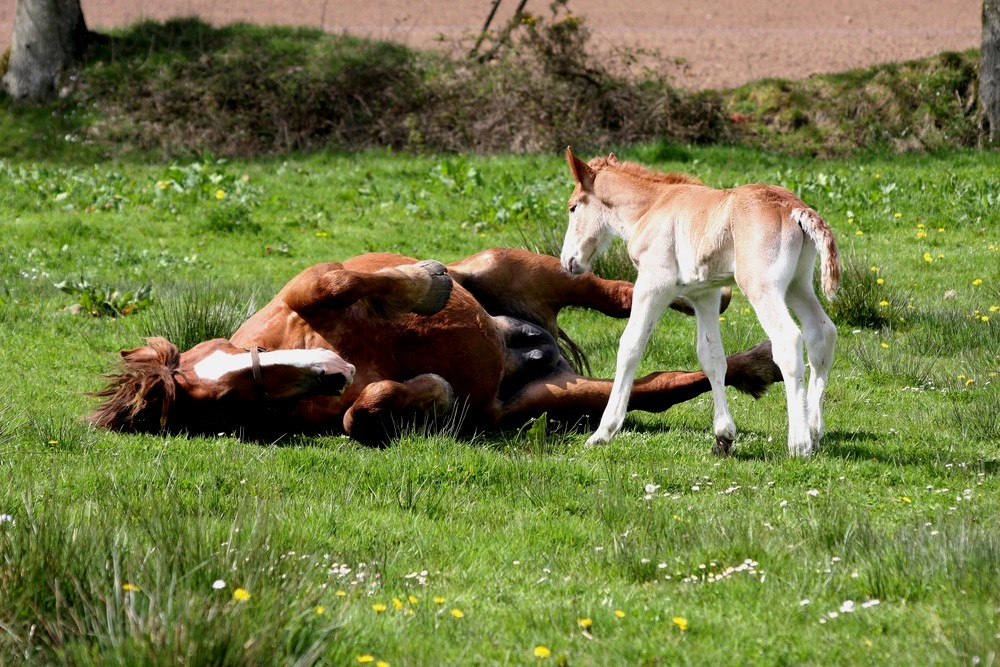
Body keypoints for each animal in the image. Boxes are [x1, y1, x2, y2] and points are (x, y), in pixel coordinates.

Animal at [90, 248, 780, 446]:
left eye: (228, 362)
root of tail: (533, 344)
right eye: (229, 399)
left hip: (514, 266)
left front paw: (426, 285)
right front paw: (430, 395)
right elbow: (362, 414)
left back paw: (713, 296)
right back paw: (757, 366)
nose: (330, 371)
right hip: (551, 399)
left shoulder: (310, 290)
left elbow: (329, 281)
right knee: (657, 387)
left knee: (615, 290)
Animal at [560, 149, 840, 456]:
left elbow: (630, 346)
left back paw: (799, 443)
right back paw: (814, 431)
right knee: (822, 334)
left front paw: (603, 432)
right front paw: (723, 435)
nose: (568, 261)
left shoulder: (654, 283)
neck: (652, 206)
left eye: (573, 207)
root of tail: (794, 208)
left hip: (762, 286)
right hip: (797, 285)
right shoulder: (704, 294)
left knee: (789, 339)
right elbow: (711, 355)